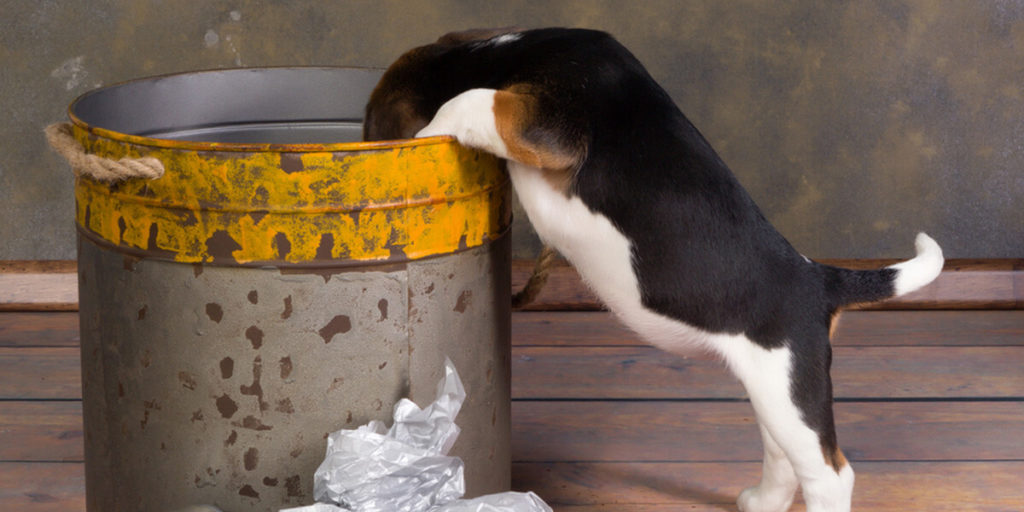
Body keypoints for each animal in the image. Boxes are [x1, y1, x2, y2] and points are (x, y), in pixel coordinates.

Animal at [362, 27, 942, 512]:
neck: (502, 52)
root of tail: (820, 279)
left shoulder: (543, 122)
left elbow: (472, 101)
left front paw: (428, 134)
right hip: (776, 388)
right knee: (783, 457)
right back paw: (760, 501)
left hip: (789, 392)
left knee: (830, 475)